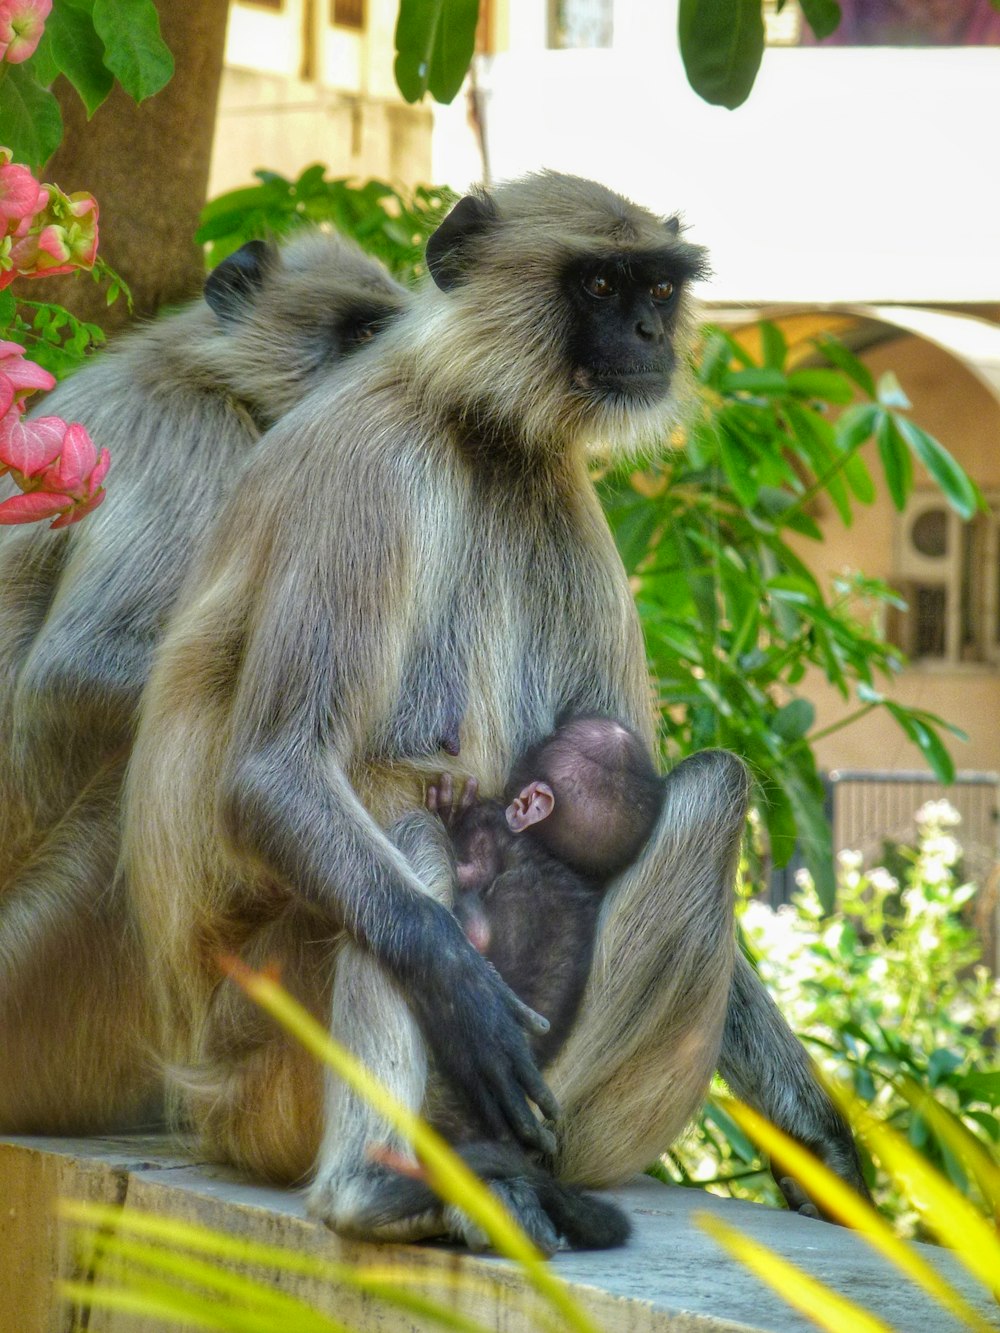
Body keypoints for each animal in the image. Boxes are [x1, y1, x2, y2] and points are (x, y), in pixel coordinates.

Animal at [125, 169, 874, 1247]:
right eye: (599, 284)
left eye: (658, 288)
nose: (650, 334)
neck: (471, 424)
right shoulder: (366, 468)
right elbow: (274, 771)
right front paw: (460, 987)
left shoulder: (556, 488)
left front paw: (818, 1142)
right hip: (258, 1060)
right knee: (432, 845)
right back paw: (380, 1183)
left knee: (703, 789)